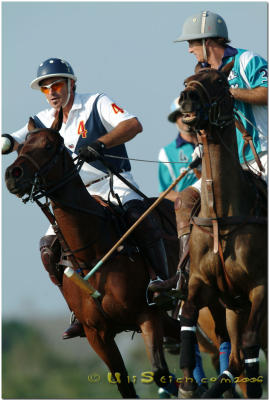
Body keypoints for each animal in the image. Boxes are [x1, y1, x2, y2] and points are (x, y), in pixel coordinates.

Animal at [175, 62, 264, 396]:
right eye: (187, 80)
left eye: (220, 82)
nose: (186, 98)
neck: (221, 216)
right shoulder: (203, 283)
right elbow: (187, 316)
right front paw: (188, 385)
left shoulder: (259, 287)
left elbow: (250, 351)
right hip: (233, 311)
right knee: (234, 359)